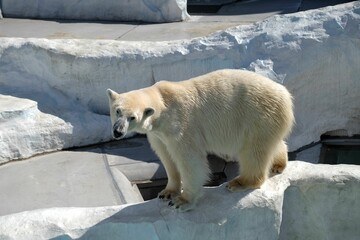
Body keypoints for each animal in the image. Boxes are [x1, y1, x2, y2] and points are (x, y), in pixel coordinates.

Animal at [106, 68, 292, 211]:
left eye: (132, 117)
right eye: (117, 111)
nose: (117, 131)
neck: (164, 103)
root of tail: (286, 95)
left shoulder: (181, 125)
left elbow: (190, 161)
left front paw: (182, 201)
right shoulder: (158, 135)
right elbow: (167, 158)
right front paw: (167, 192)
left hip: (257, 116)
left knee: (253, 152)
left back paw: (240, 182)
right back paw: (278, 164)